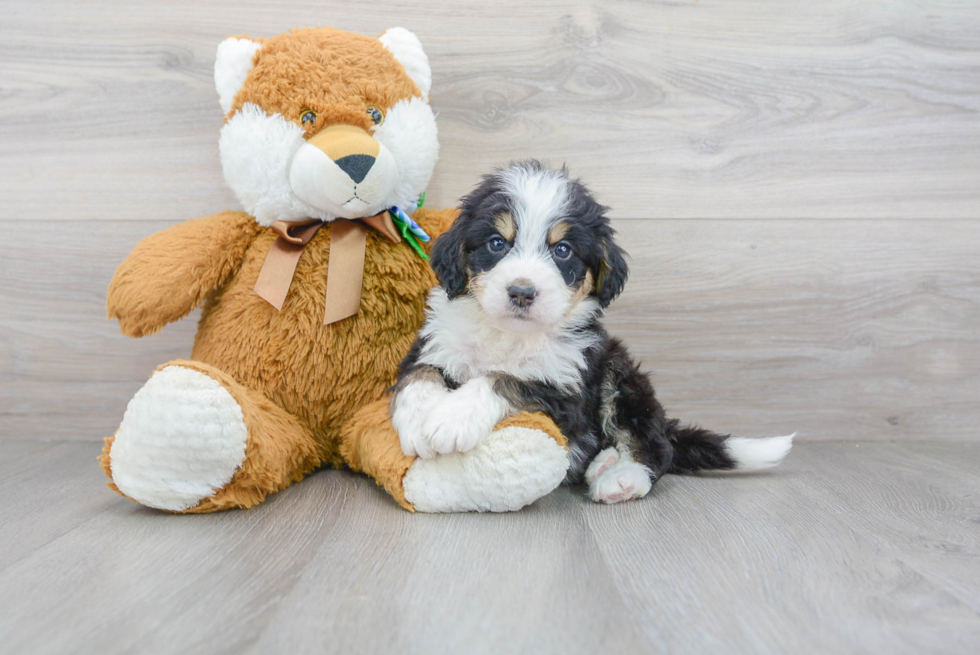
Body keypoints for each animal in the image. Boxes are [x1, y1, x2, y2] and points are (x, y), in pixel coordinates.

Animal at [386, 161, 792, 504]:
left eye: (563, 250)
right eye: (497, 243)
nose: (521, 292)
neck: (510, 335)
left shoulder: (568, 388)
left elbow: (505, 378)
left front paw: (453, 418)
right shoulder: (433, 343)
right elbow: (419, 374)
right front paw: (417, 419)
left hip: (620, 374)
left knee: (656, 446)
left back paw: (622, 477)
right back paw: (604, 462)